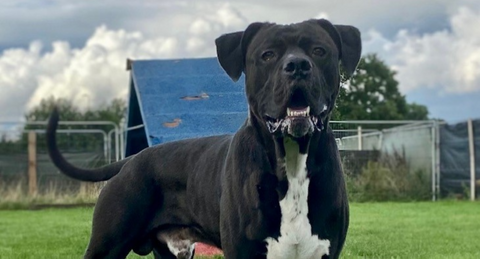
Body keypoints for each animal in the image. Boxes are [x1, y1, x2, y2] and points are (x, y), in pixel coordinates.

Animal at [47, 19, 360, 258]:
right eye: (268, 55)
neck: (292, 160)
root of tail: (132, 159)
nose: (297, 65)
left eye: (319, 50)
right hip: (106, 245)